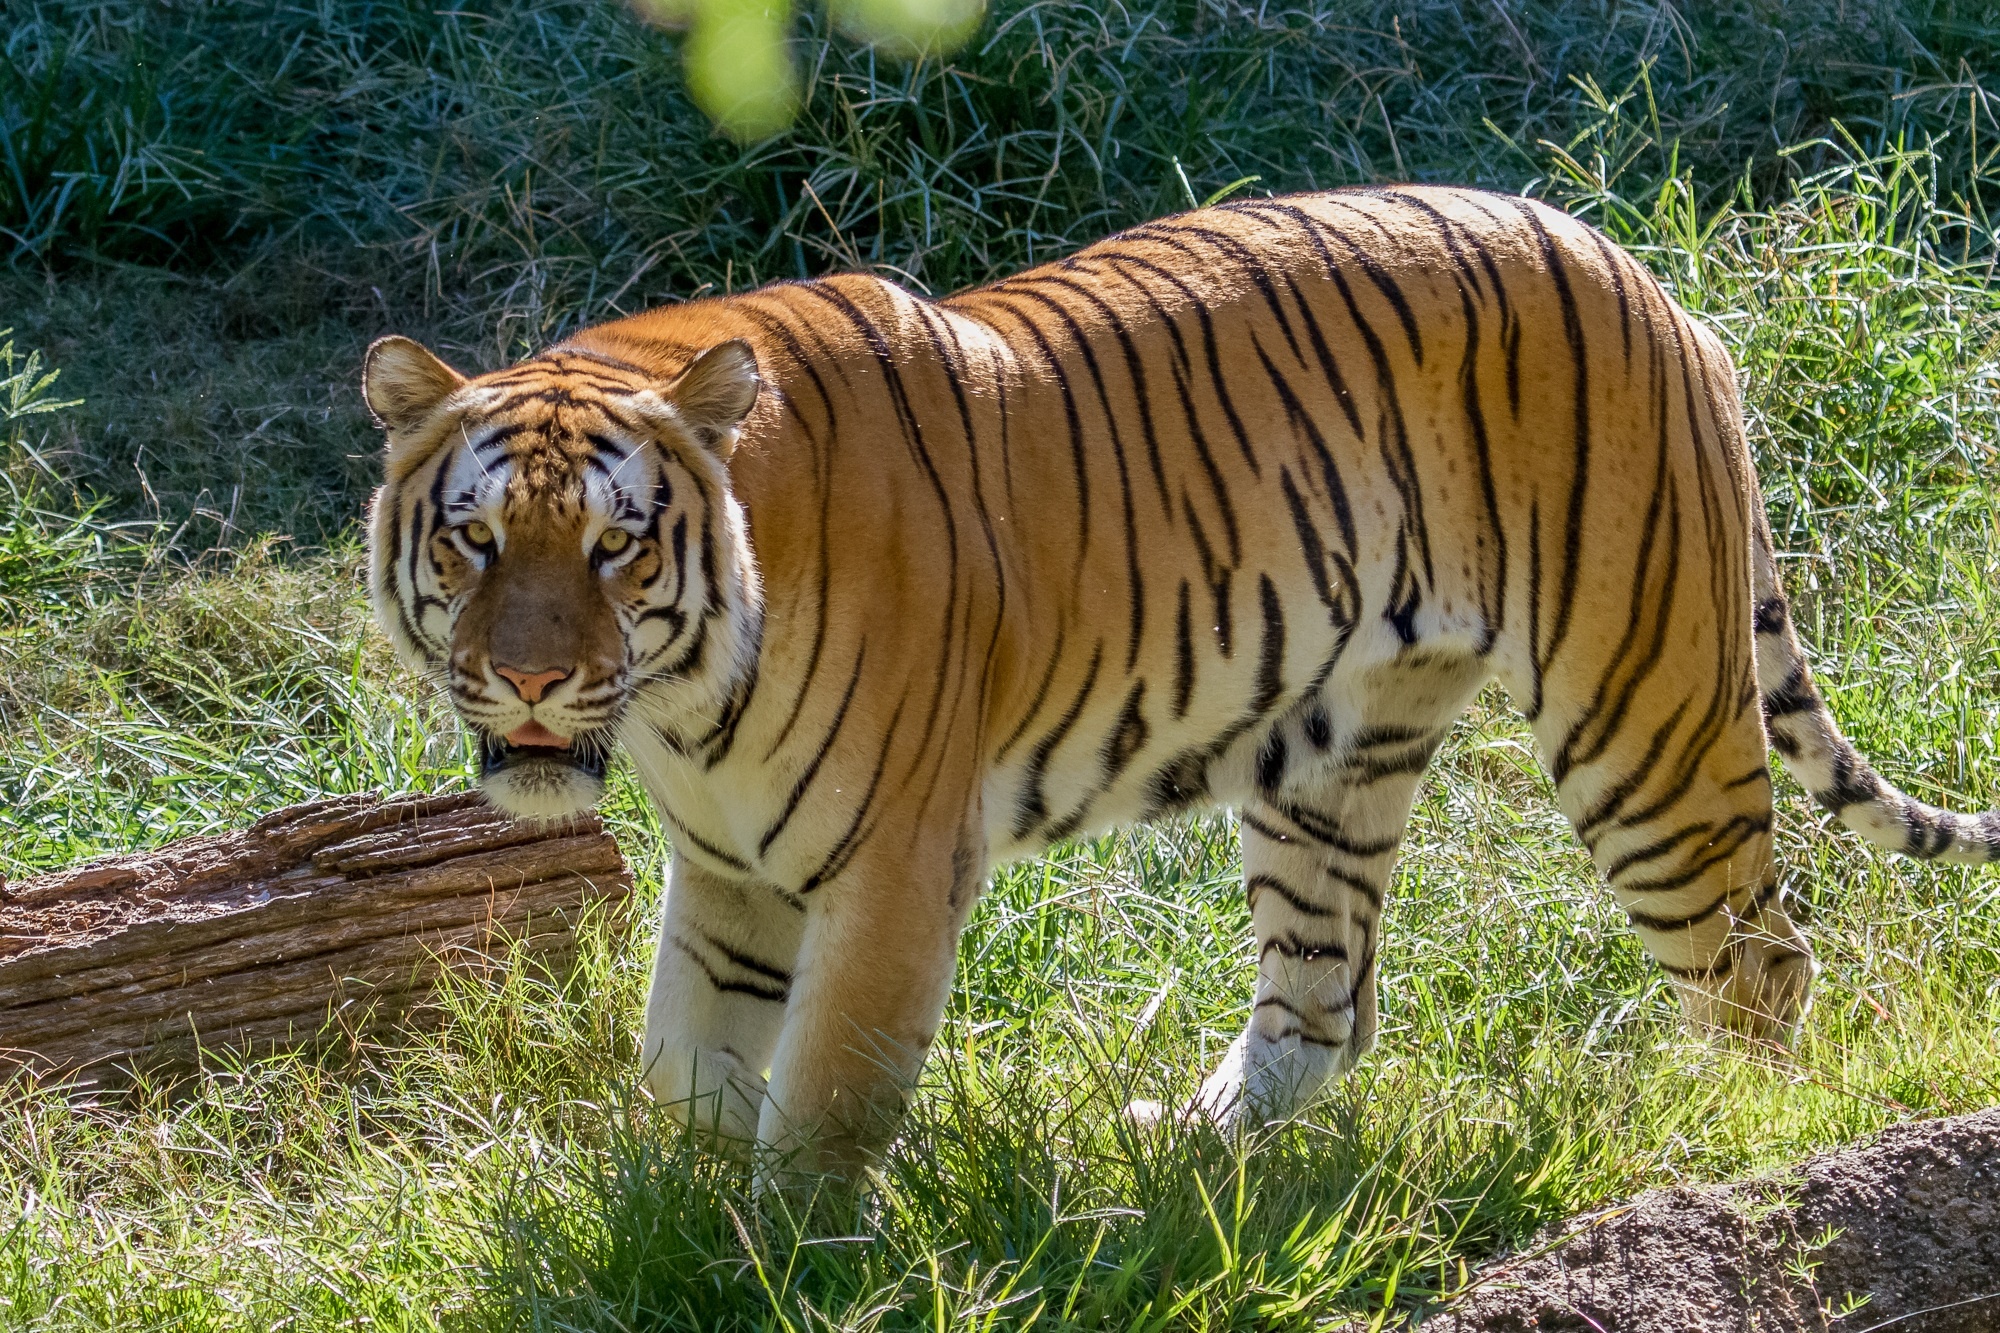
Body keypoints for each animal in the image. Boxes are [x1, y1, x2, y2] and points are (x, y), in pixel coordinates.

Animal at [360, 184, 2000, 1176]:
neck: (689, 707)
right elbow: (686, 1069)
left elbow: (821, 1099)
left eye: (617, 547)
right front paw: (689, 1223)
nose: (528, 684)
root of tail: (1640, 267)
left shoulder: (892, 868)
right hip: (1331, 759)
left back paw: (1738, 1134)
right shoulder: (733, 871)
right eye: (476, 538)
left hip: (1640, 717)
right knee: (1323, 1004)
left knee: (1759, 959)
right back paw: (1195, 1146)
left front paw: (780, 1252)